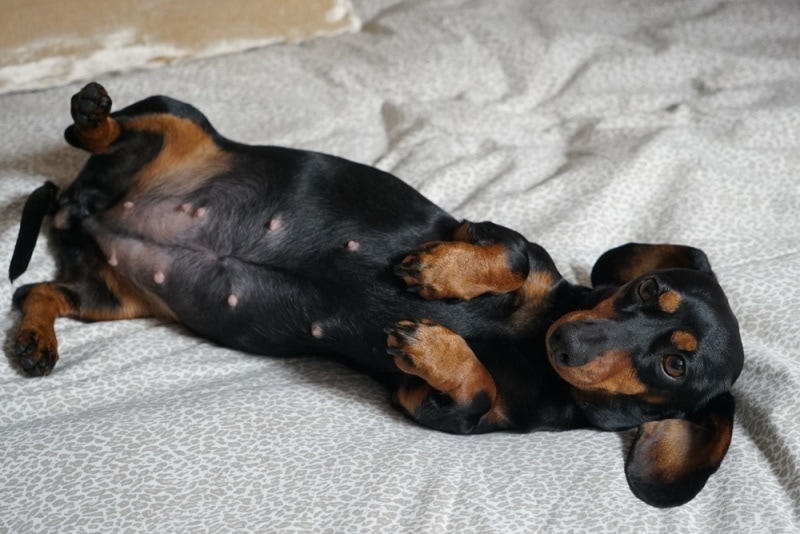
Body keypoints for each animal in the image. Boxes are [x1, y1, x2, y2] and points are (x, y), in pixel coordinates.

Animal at [7, 84, 744, 510]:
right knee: (113, 128)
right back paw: (93, 112)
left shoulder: (428, 409)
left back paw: (34, 339)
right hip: (182, 125)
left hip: (109, 293)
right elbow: (506, 255)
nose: (568, 339)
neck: (535, 346)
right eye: (646, 287)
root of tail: (82, 204)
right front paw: (435, 275)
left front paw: (431, 343)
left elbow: (472, 392)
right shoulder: (496, 236)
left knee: (38, 288)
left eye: (675, 365)